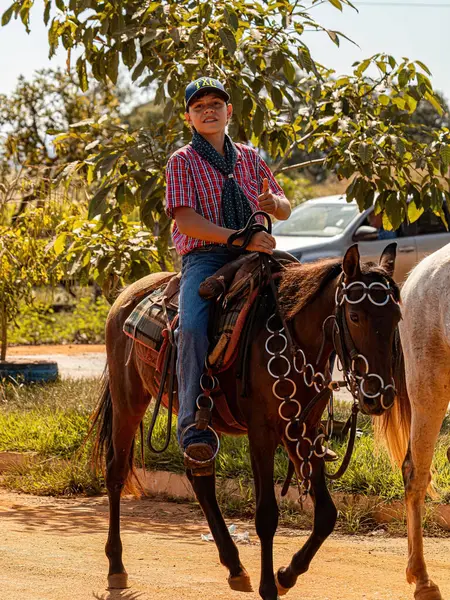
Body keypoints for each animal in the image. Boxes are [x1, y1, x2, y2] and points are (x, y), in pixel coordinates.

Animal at [91, 244, 400, 600]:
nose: (379, 396)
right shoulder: (262, 432)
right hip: (129, 400)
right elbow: (266, 514)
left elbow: (326, 515)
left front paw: (286, 575)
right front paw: (269, 586)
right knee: (116, 472)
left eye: (397, 317)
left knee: (199, 477)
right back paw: (116, 566)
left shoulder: (303, 429)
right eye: (354, 316)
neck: (293, 337)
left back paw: (235, 567)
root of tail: (125, 296)